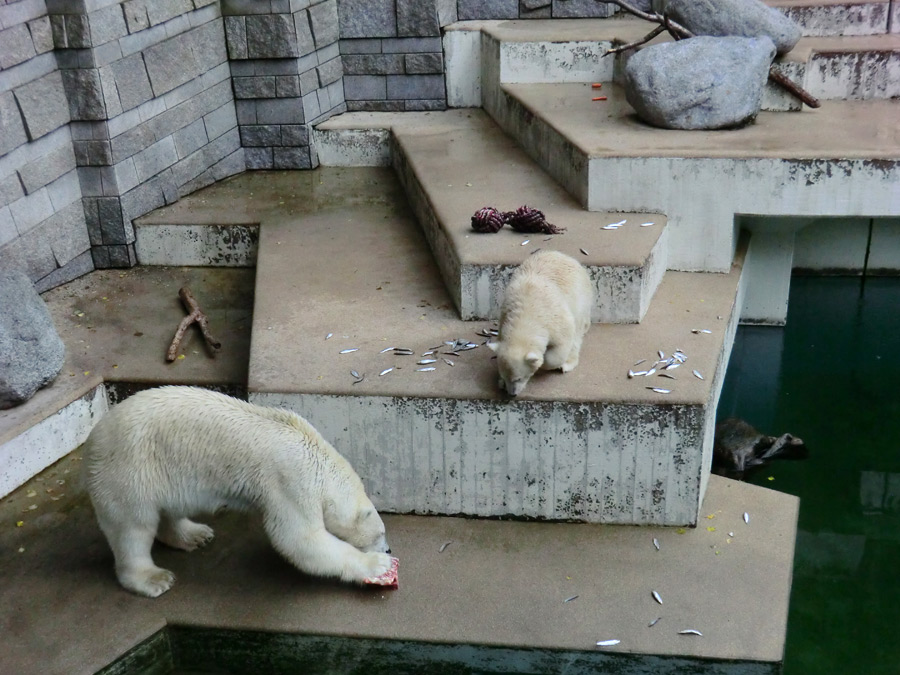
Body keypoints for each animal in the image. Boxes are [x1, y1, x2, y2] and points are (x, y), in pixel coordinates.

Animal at [82, 386, 392, 596]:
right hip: (130, 469)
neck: (316, 455)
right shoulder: (291, 482)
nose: (388, 547)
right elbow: (300, 540)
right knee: (132, 527)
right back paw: (153, 579)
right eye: (380, 533)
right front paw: (377, 564)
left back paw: (194, 535)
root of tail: (93, 438)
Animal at [488, 251, 596, 396]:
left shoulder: (556, 320)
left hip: (581, 299)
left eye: (519, 378)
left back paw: (568, 363)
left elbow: (561, 344)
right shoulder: (505, 316)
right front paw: (501, 384)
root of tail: (565, 256)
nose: (512, 394)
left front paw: (542, 362)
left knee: (577, 333)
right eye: (505, 377)